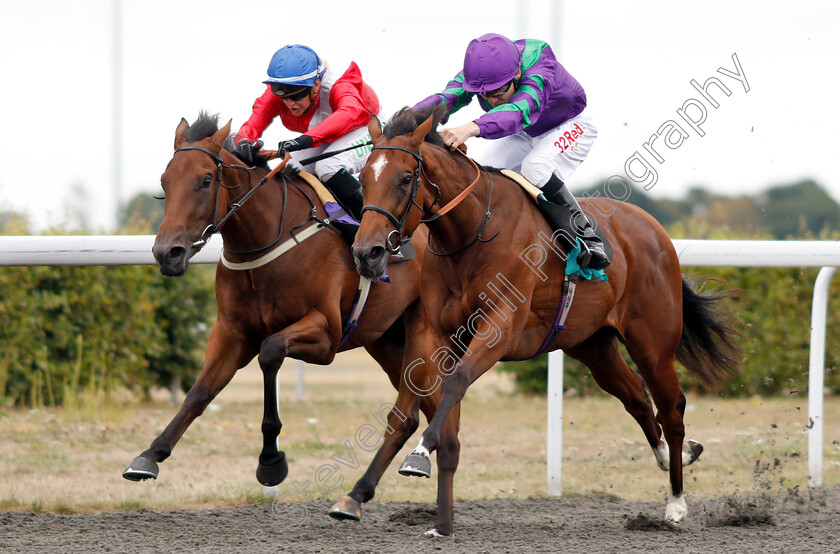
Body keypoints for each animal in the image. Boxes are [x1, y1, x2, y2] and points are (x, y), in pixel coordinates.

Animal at [124, 113, 442, 512]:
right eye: (165, 181)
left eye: (206, 180)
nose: (168, 253)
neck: (268, 239)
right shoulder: (231, 331)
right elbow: (199, 392)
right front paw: (149, 455)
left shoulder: (326, 335)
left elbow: (270, 351)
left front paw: (271, 462)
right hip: (386, 340)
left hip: (422, 331)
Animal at [352, 105, 740, 532]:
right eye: (362, 178)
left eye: (406, 178)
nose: (366, 252)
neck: (474, 232)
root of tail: (655, 229)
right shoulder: (434, 333)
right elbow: (420, 409)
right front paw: (417, 512)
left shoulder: (499, 328)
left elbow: (455, 382)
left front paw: (419, 455)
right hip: (593, 345)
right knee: (637, 397)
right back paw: (673, 456)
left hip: (653, 344)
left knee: (672, 409)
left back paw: (675, 503)